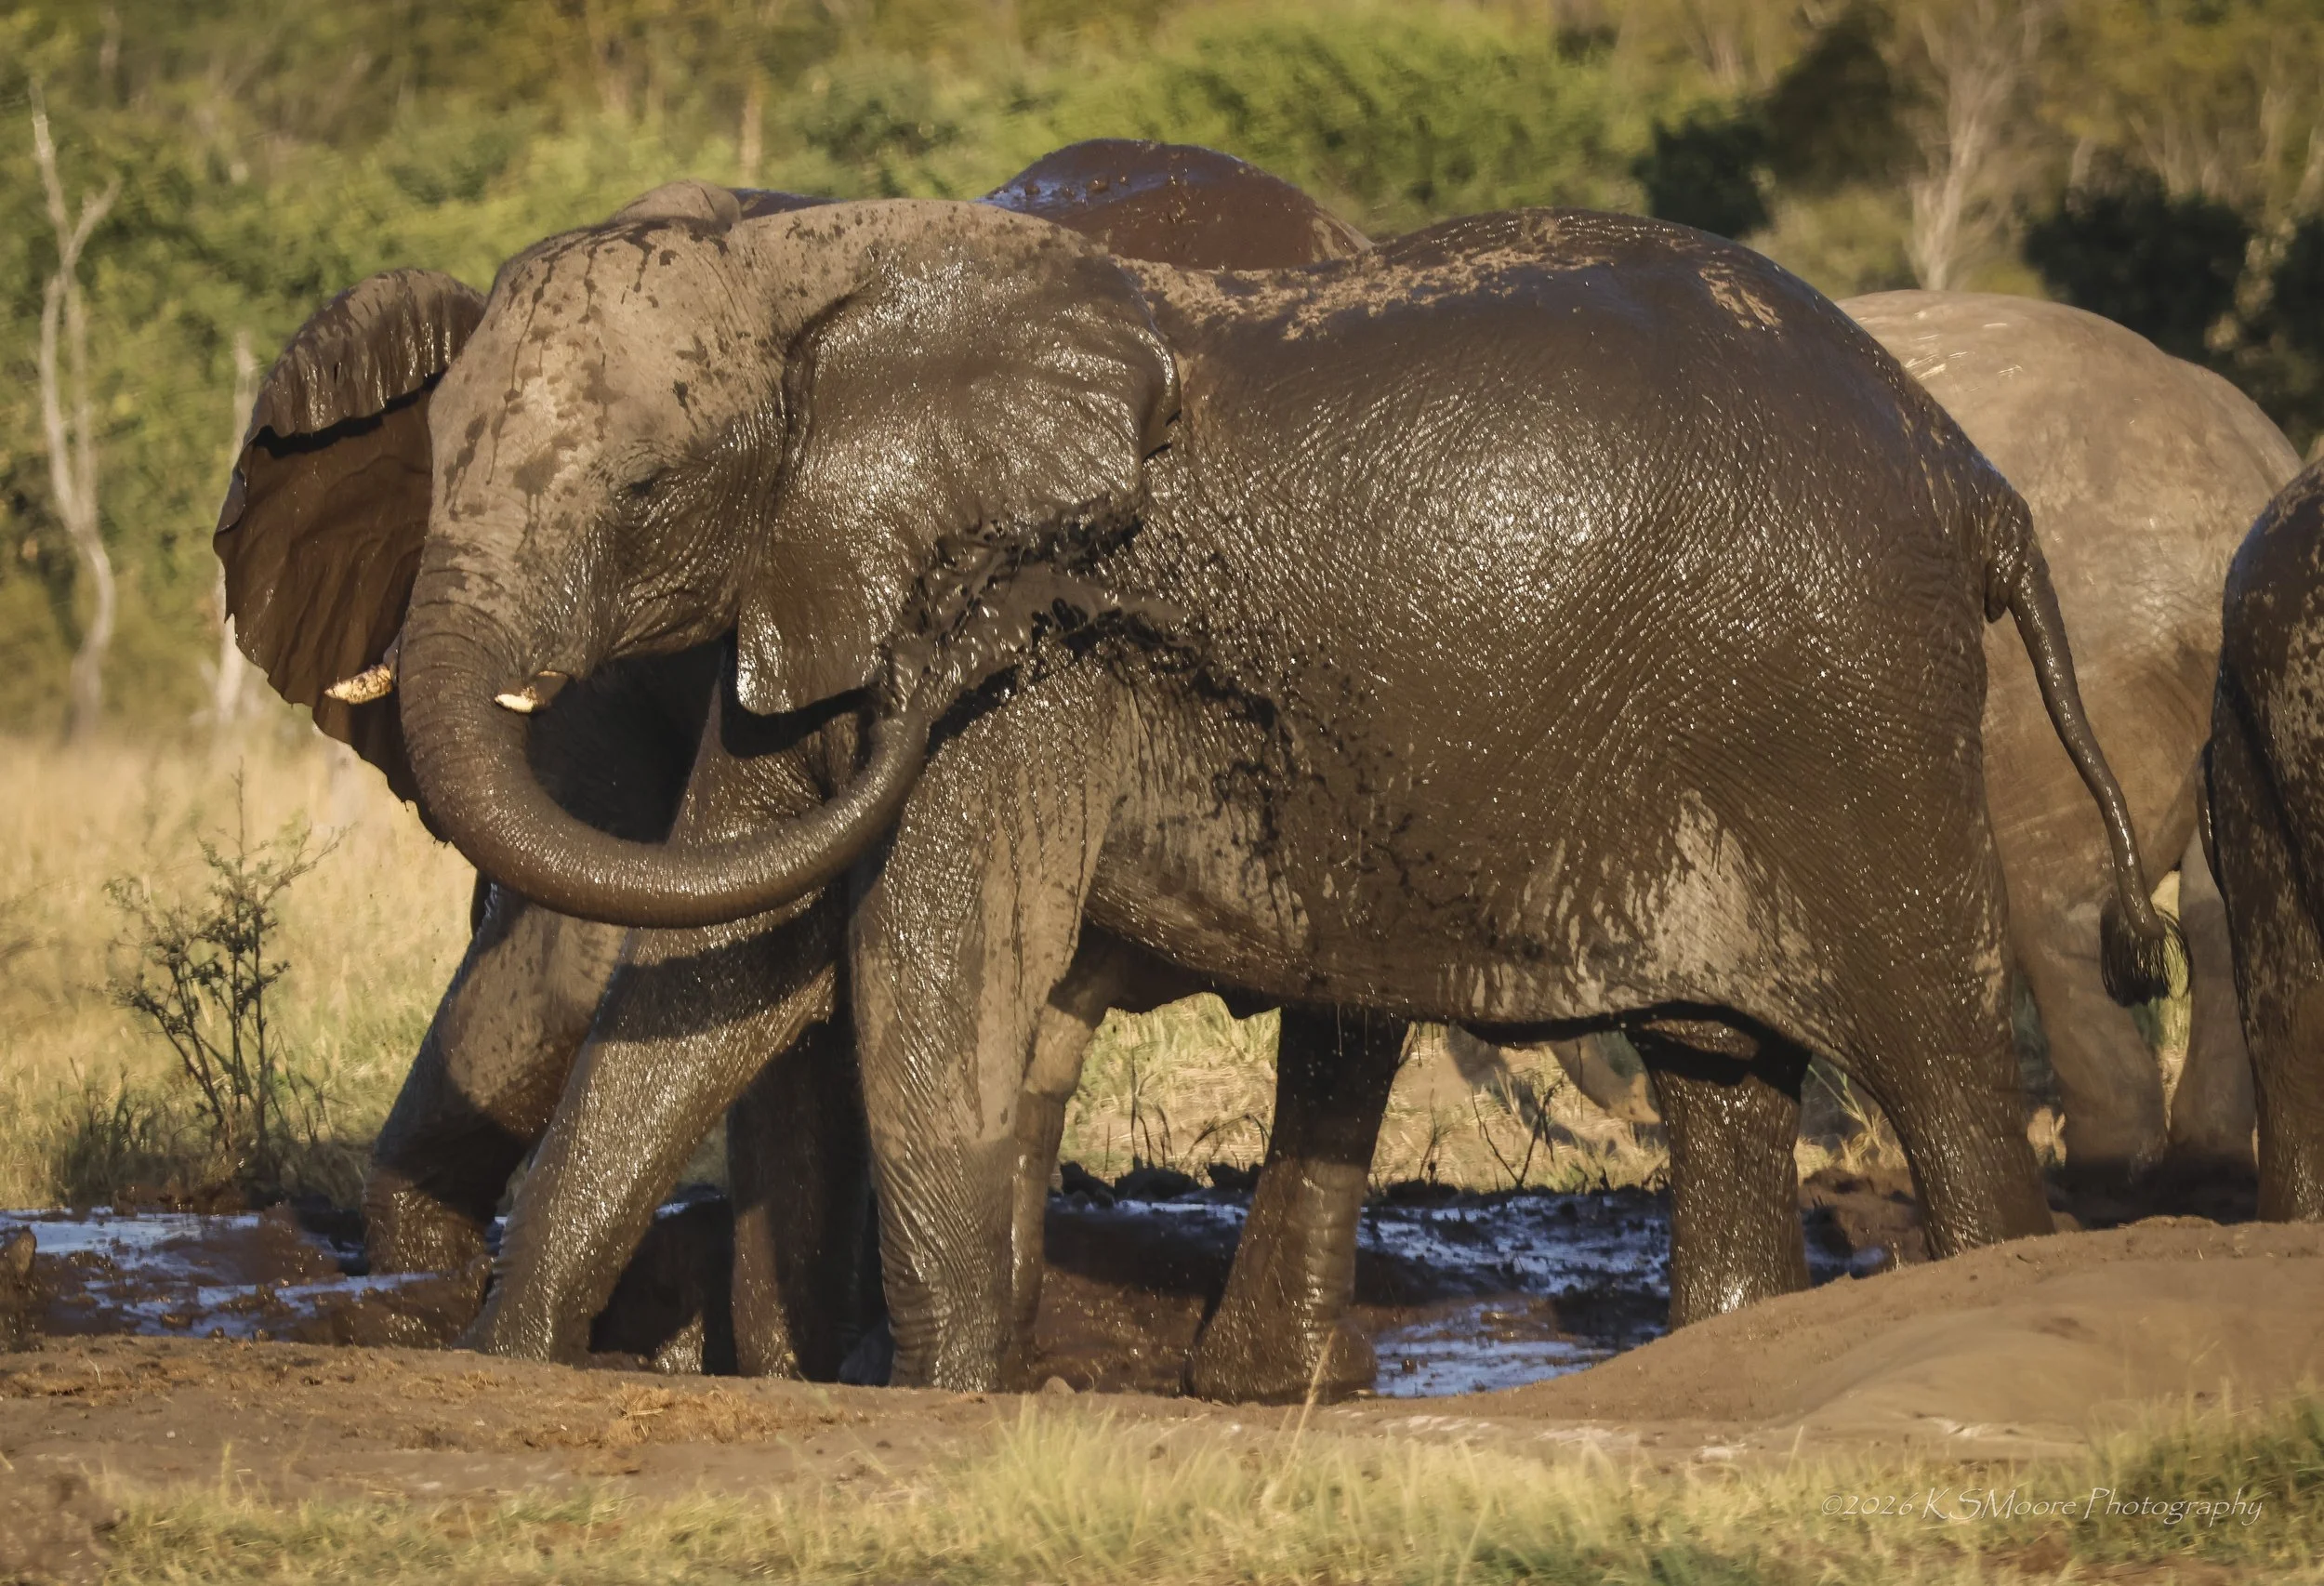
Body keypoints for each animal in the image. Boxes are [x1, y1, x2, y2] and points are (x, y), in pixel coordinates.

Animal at [218, 140, 1398, 1393]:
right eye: (434, 474)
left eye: (646, 492)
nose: (941, 657)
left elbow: (582, 949)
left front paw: (771, 1365)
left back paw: (1273, 1380)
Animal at [368, 188, 2179, 1391]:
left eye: (646, 491)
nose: (950, 664)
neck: (823, 260)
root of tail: (1971, 476)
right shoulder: (822, 580)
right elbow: (705, 979)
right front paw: (508, 1367)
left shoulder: (1030, 666)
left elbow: (929, 977)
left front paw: (948, 1402)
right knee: (1718, 1071)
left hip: (1854, 710)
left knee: (1940, 1063)